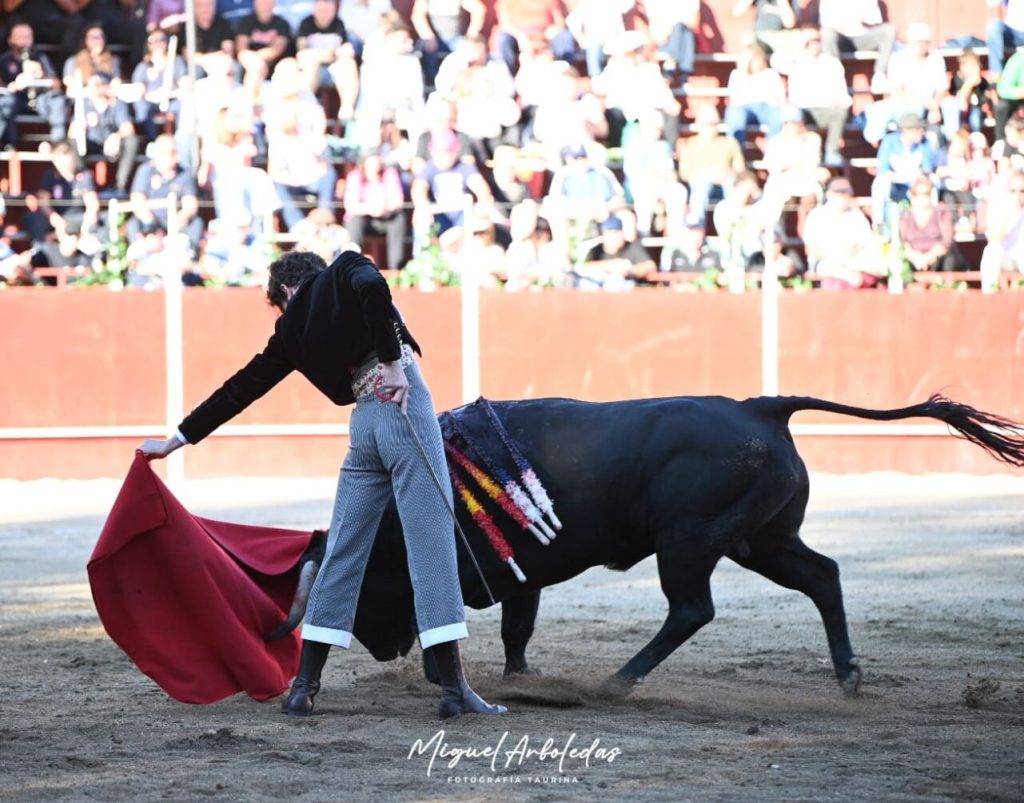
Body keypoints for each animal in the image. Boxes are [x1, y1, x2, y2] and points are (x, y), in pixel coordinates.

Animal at [278, 391, 1024, 692]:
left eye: (366, 590)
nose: (385, 650)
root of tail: (761, 406)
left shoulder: (510, 572)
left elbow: (491, 624)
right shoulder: (524, 577)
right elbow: (518, 628)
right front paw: (519, 675)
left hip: (689, 541)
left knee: (692, 608)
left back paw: (620, 680)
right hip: (761, 540)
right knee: (823, 576)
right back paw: (848, 675)